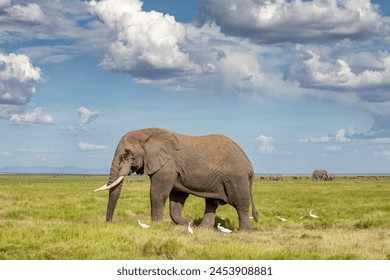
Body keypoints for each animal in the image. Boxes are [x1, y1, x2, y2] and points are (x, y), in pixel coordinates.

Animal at [95, 128, 258, 231]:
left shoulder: (167, 166)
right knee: (212, 203)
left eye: (127, 154)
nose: (110, 223)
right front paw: (188, 223)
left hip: (236, 178)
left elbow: (158, 192)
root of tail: (250, 166)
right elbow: (177, 197)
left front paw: (156, 225)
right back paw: (202, 229)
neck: (148, 132)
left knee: (240, 204)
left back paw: (243, 232)